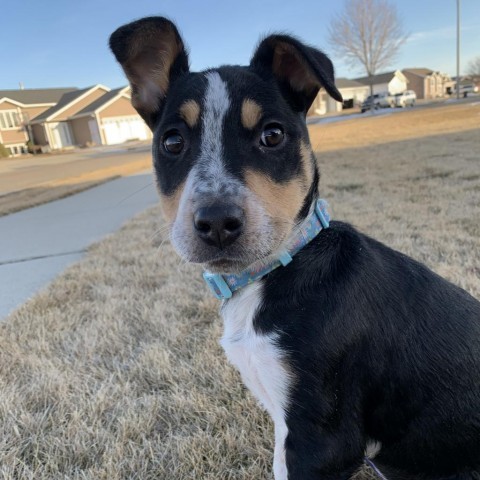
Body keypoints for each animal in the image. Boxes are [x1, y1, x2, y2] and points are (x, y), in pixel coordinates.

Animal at [109, 15, 480, 480]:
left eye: (272, 135)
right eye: (172, 142)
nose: (217, 223)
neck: (273, 271)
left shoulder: (323, 440)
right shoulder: (285, 424)